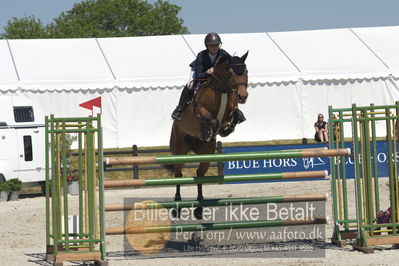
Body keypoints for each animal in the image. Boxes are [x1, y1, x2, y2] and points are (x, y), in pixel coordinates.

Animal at [167, 51, 248, 218]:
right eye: (231, 73)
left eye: (246, 72)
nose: (243, 96)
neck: (222, 90)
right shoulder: (200, 111)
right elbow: (212, 120)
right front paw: (209, 131)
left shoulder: (232, 110)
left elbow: (237, 115)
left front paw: (226, 130)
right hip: (178, 149)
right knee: (178, 174)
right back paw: (177, 205)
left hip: (206, 155)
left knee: (199, 174)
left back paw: (199, 207)